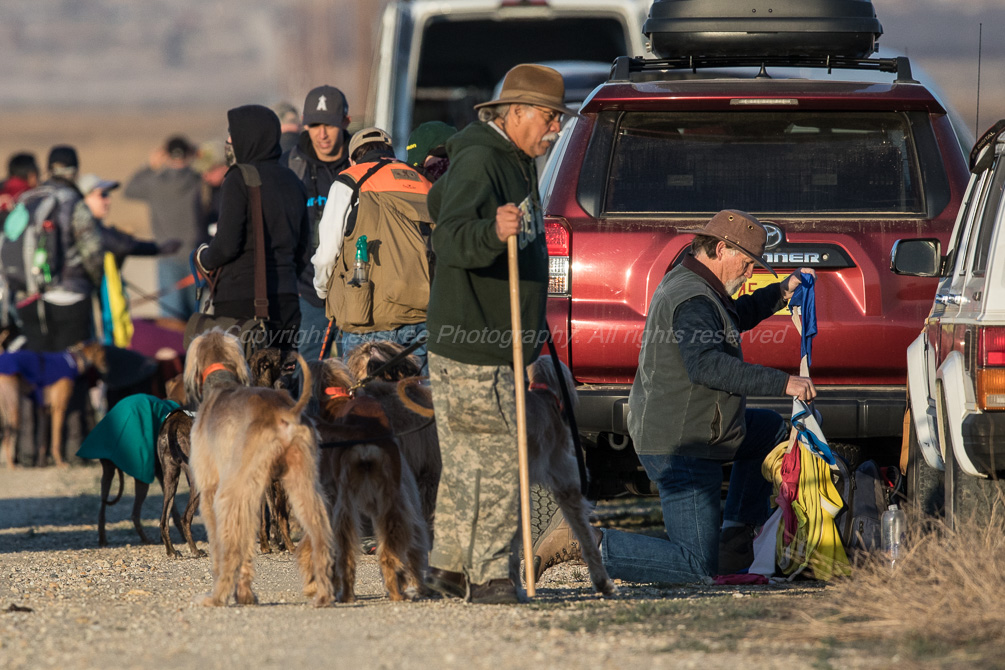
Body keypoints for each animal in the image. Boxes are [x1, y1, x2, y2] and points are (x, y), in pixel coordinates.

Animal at [186, 330, 334, 607]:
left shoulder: (211, 490)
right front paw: (245, 594)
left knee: (229, 545)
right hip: (301, 482)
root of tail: (285, 412)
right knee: (319, 533)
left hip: (231, 492)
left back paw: (217, 596)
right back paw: (322, 593)